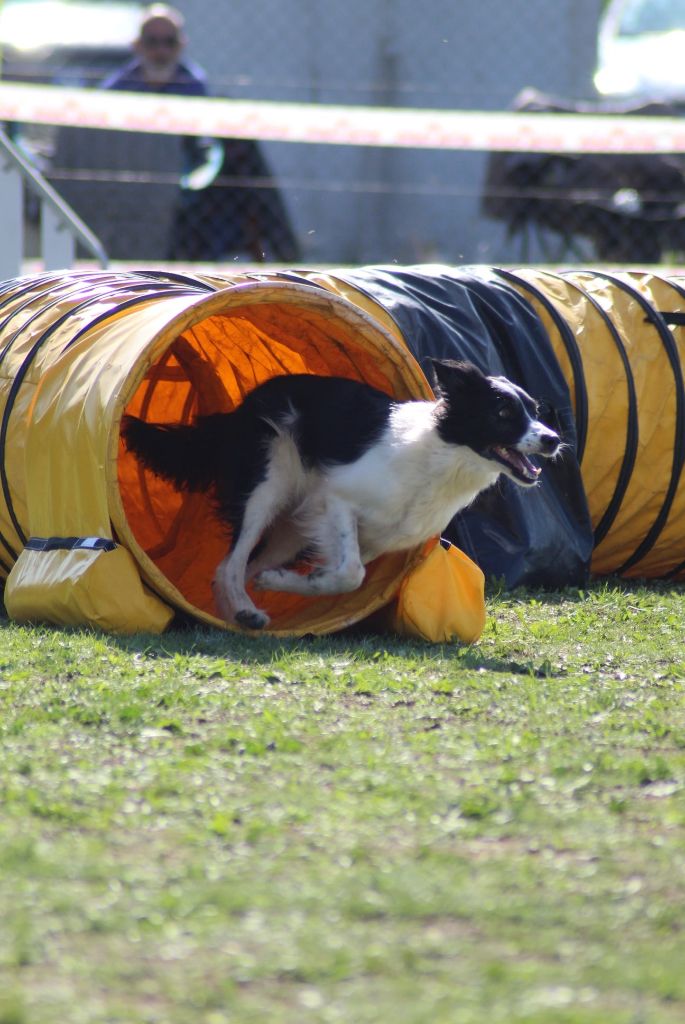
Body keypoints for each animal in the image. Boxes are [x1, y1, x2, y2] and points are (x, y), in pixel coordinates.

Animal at [121, 360, 561, 630]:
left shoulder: (376, 538)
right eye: (502, 413)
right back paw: (245, 610)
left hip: (290, 530)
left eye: (535, 411)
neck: (440, 455)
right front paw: (305, 581)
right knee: (228, 565)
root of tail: (240, 409)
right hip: (266, 488)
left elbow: (346, 574)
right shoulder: (336, 500)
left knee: (240, 568)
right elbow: (351, 574)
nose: (553, 440)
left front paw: (292, 582)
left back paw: (247, 608)